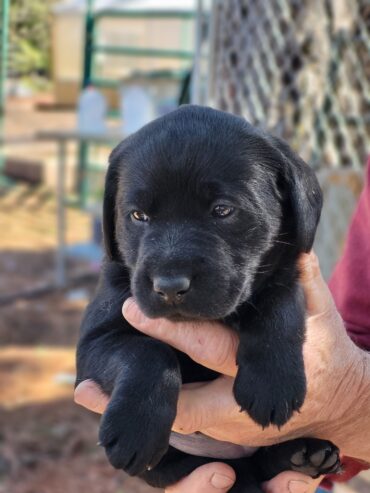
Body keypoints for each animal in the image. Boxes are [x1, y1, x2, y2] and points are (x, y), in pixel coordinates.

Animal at [76, 105, 342, 490]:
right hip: (181, 465)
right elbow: (146, 350)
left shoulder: (289, 271)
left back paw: (305, 454)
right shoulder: (94, 342)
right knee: (238, 473)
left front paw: (273, 381)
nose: (170, 285)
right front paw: (135, 428)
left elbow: (279, 306)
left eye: (222, 210)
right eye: (138, 216)